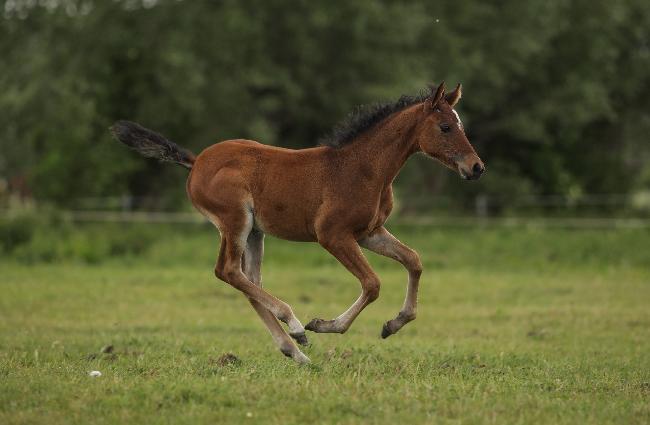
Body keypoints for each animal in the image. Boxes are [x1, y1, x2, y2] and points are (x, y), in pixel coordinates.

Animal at [111, 81, 484, 362]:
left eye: (461, 125)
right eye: (445, 127)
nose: (476, 167)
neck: (364, 168)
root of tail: (196, 161)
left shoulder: (369, 233)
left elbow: (414, 261)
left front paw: (393, 324)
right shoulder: (332, 235)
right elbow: (373, 283)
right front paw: (324, 324)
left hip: (255, 232)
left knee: (249, 281)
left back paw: (295, 351)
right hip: (235, 221)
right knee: (228, 271)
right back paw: (295, 325)